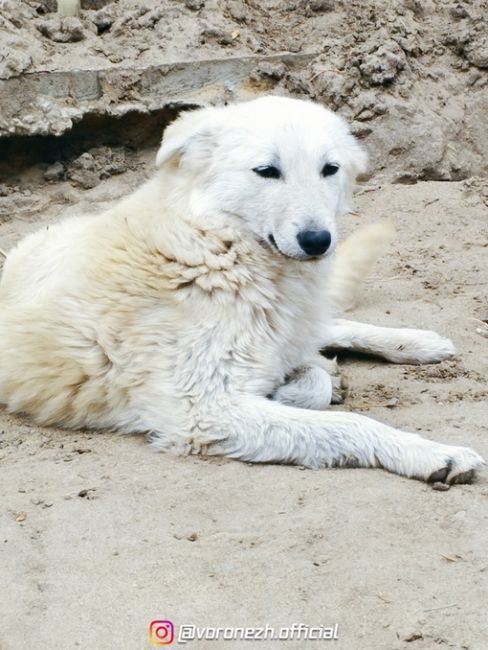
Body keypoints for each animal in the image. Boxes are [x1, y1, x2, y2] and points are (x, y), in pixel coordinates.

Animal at [0, 95, 482, 480]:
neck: (218, 248)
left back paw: (417, 341)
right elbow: (349, 422)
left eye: (330, 169)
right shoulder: (205, 413)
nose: (317, 241)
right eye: (267, 171)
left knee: (327, 327)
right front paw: (432, 453)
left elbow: (318, 382)